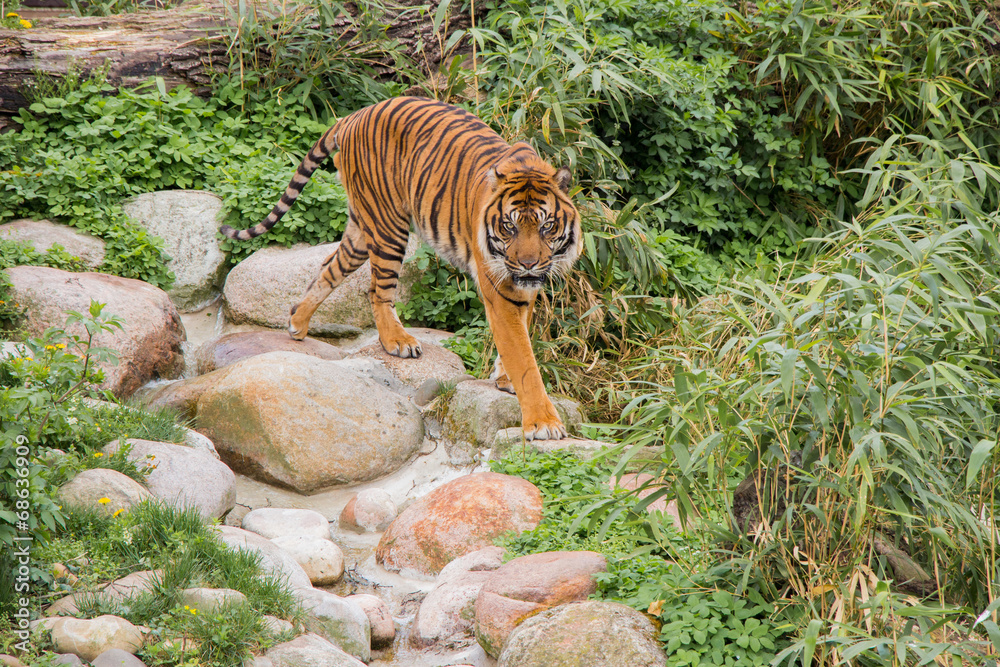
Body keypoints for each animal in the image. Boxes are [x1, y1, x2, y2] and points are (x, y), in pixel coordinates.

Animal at [220, 96, 582, 441]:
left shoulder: (523, 289)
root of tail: (352, 116)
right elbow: (524, 359)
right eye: (509, 226)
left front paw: (504, 377)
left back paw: (298, 322)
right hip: (388, 226)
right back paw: (397, 340)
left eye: (547, 226)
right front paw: (543, 423)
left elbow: (520, 338)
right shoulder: (502, 289)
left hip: (360, 228)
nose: (528, 264)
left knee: (330, 267)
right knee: (376, 290)